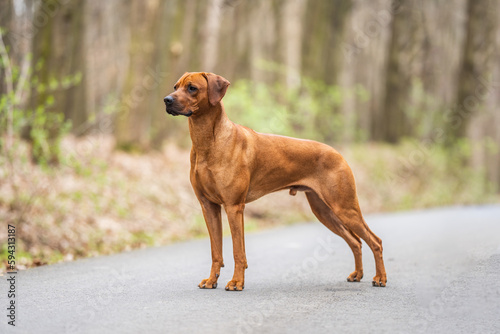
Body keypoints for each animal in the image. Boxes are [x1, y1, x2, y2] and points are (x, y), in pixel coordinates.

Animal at [164, 72, 386, 290]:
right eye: (175, 87)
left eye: (192, 88)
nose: (166, 100)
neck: (208, 141)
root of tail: (338, 153)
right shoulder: (208, 206)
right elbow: (216, 251)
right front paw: (212, 280)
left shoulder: (234, 206)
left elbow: (238, 251)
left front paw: (236, 282)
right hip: (324, 210)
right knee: (356, 241)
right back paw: (358, 274)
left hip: (344, 207)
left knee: (375, 241)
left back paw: (380, 278)